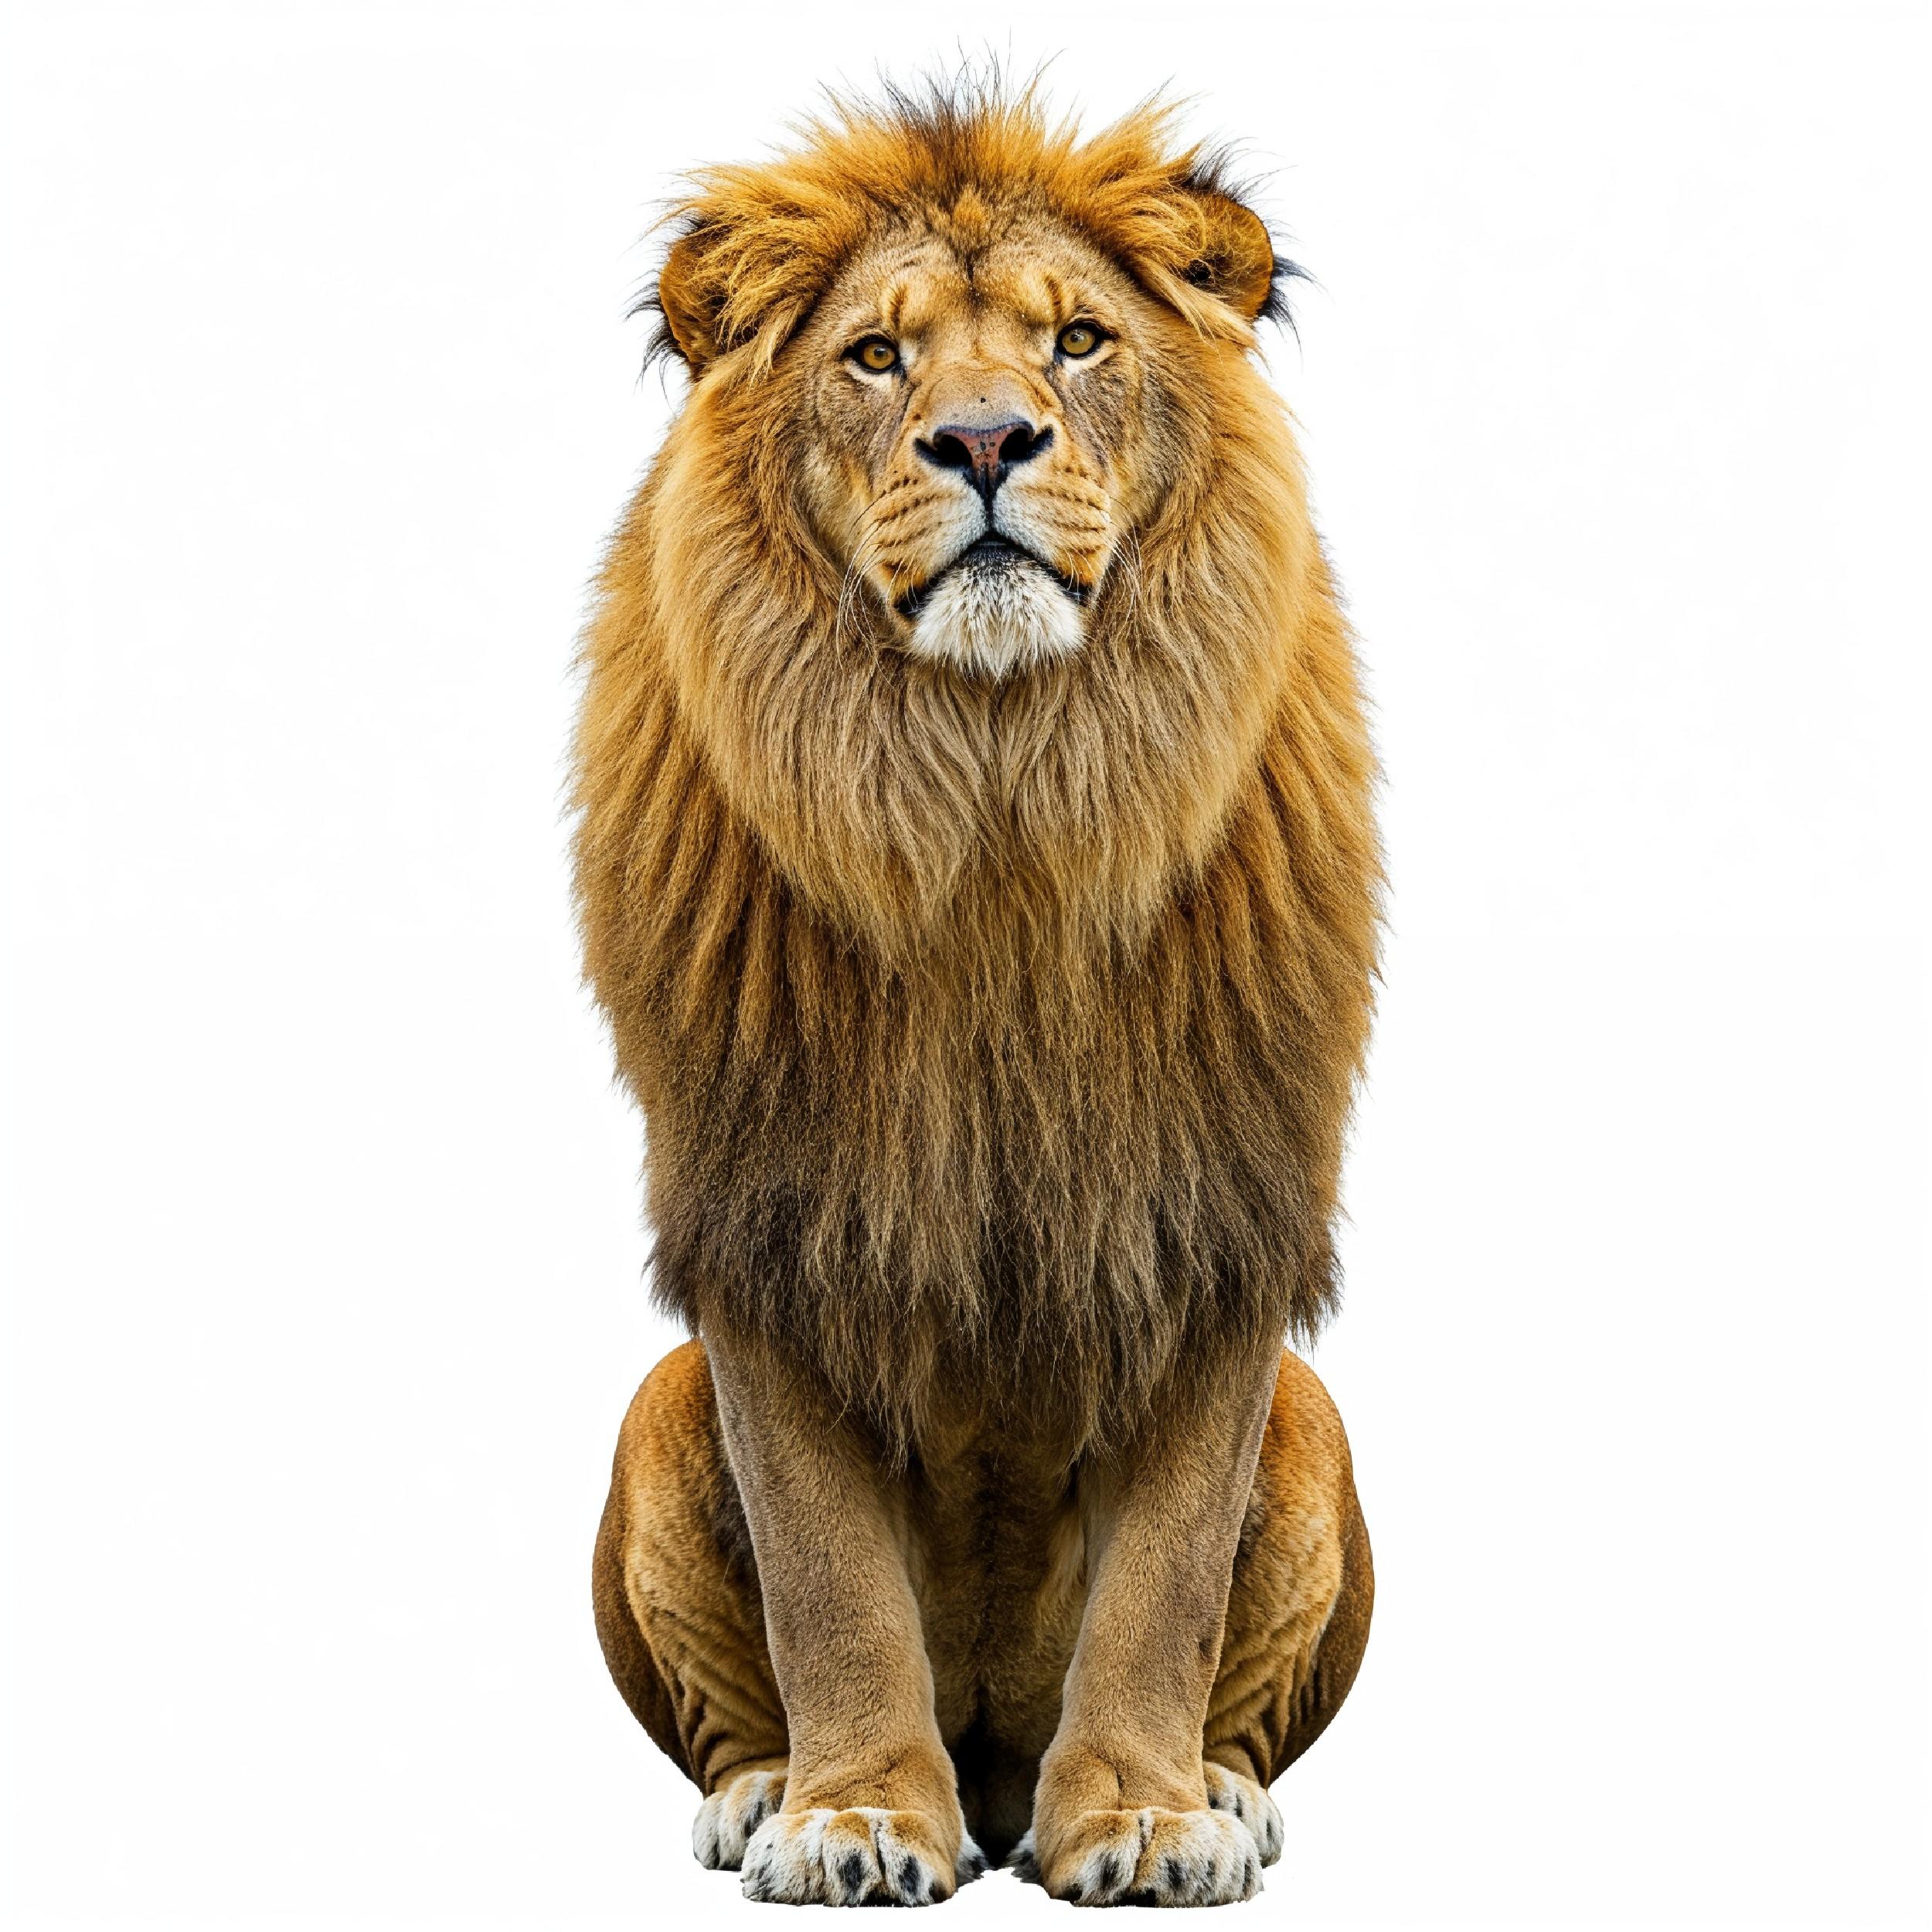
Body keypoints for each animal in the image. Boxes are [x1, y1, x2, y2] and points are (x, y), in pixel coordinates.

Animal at [574, 79, 1380, 1908]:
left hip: (1314, 1420)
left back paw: (1216, 1789)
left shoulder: (1212, 1220)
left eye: (1077, 340)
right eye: (877, 359)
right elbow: (826, 1577)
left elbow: (1165, 1576)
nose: (990, 443)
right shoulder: (772, 1223)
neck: (998, 783)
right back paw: (763, 1792)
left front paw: (1144, 1817)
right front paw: (856, 1814)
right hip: (658, 1407)